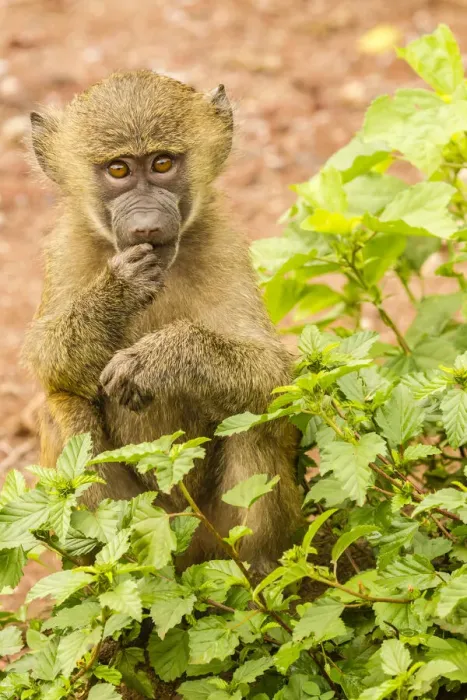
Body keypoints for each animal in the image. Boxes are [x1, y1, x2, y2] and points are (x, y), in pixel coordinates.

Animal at [23, 70, 302, 573]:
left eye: (162, 163)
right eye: (118, 170)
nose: (148, 227)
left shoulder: (224, 244)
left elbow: (274, 377)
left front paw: (160, 359)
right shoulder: (67, 247)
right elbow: (50, 362)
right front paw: (120, 290)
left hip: (218, 528)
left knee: (254, 418)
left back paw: (263, 573)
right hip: (141, 518)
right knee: (66, 409)